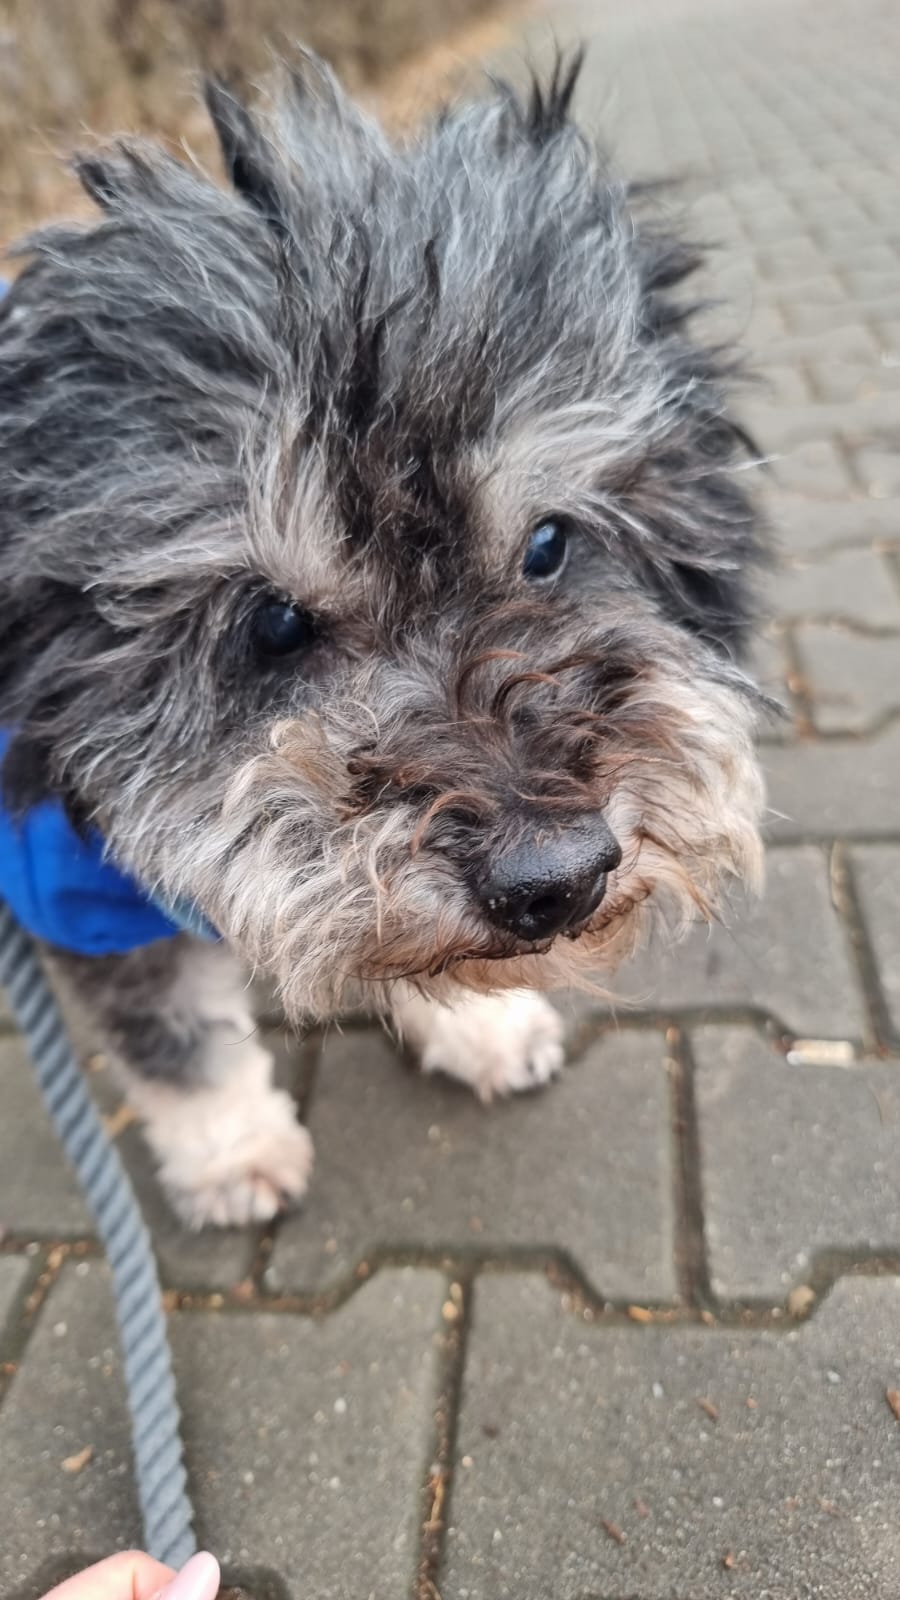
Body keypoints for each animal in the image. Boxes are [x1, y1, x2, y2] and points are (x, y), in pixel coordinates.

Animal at [0, 55, 765, 1229]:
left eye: (547, 543)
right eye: (272, 622)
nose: (556, 879)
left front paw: (477, 1023)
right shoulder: (75, 889)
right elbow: (173, 1036)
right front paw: (229, 1147)